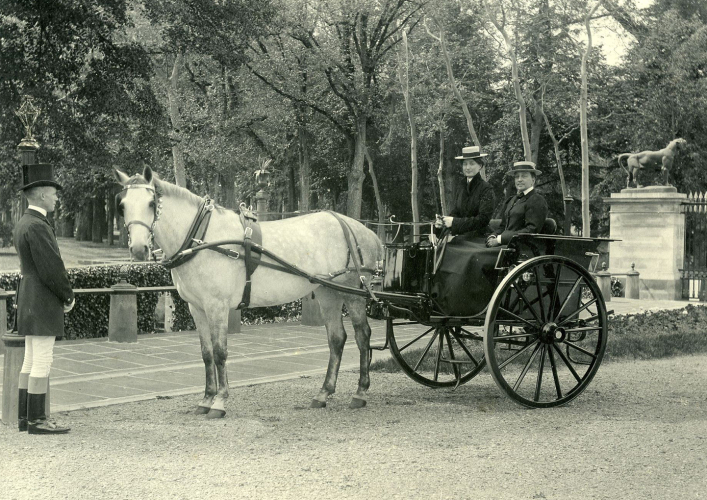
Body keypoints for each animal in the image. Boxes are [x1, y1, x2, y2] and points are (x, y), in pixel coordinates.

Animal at [117, 166, 382, 416]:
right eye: (122, 205)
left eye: (151, 204)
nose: (139, 249)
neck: (201, 238)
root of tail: (362, 229)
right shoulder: (197, 308)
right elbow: (206, 353)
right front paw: (206, 398)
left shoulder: (217, 306)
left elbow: (220, 352)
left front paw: (220, 401)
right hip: (329, 292)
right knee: (337, 338)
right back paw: (324, 393)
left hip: (352, 291)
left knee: (362, 336)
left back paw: (360, 392)